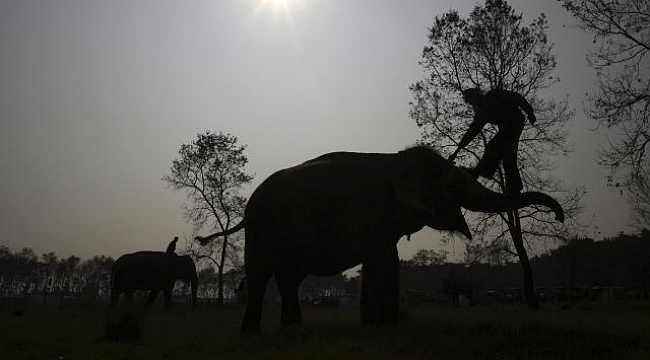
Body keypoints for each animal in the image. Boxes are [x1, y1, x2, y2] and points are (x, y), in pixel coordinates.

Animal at [194, 145, 560, 330]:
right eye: (456, 184)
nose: (559, 214)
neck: (395, 161)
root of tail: (246, 210)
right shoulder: (373, 215)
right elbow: (386, 261)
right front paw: (386, 327)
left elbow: (377, 261)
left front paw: (373, 326)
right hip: (263, 230)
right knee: (259, 275)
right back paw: (251, 332)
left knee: (289, 279)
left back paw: (293, 329)